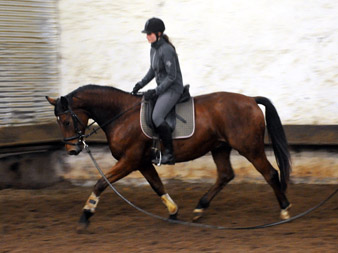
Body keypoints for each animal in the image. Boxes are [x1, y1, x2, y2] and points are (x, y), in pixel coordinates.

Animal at [46, 85, 292, 231]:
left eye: (66, 121)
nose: (72, 150)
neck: (122, 115)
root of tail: (250, 99)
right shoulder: (142, 162)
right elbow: (157, 186)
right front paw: (173, 212)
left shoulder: (130, 160)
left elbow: (101, 182)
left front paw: (86, 214)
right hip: (220, 147)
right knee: (225, 175)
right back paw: (199, 209)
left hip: (249, 148)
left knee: (270, 173)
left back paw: (285, 209)